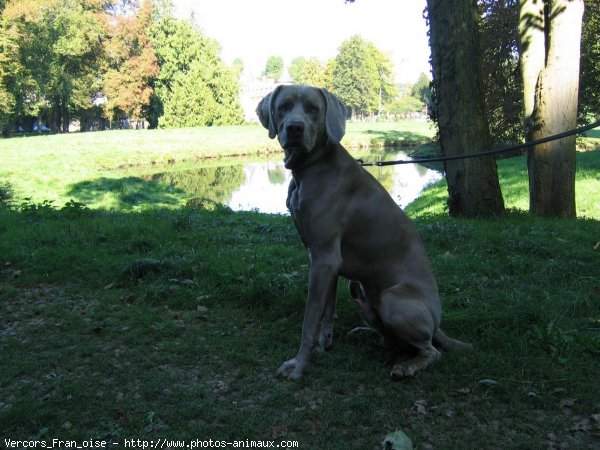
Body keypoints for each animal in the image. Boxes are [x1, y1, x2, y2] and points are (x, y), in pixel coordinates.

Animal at [255, 84, 472, 380]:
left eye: (313, 109)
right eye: (283, 107)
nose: (295, 128)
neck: (310, 168)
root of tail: (438, 324)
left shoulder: (325, 258)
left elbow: (310, 319)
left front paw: (299, 365)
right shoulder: (324, 261)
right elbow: (327, 312)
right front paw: (323, 347)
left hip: (393, 300)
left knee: (431, 351)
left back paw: (406, 366)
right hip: (359, 291)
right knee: (391, 340)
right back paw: (366, 335)